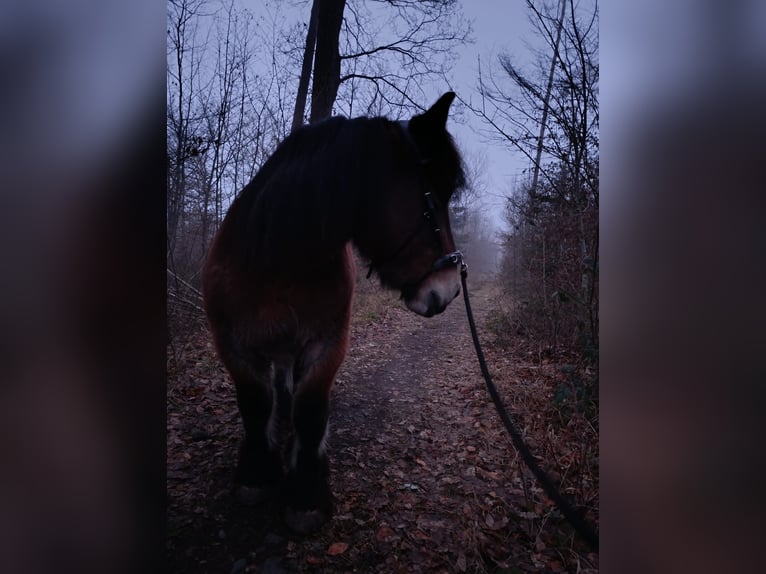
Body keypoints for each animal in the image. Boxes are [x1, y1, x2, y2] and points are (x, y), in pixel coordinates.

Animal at [204, 91, 464, 536]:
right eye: (433, 194)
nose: (447, 289)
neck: (278, 260)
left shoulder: (328, 342)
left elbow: (310, 411)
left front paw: (306, 494)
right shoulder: (231, 344)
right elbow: (255, 403)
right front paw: (256, 473)